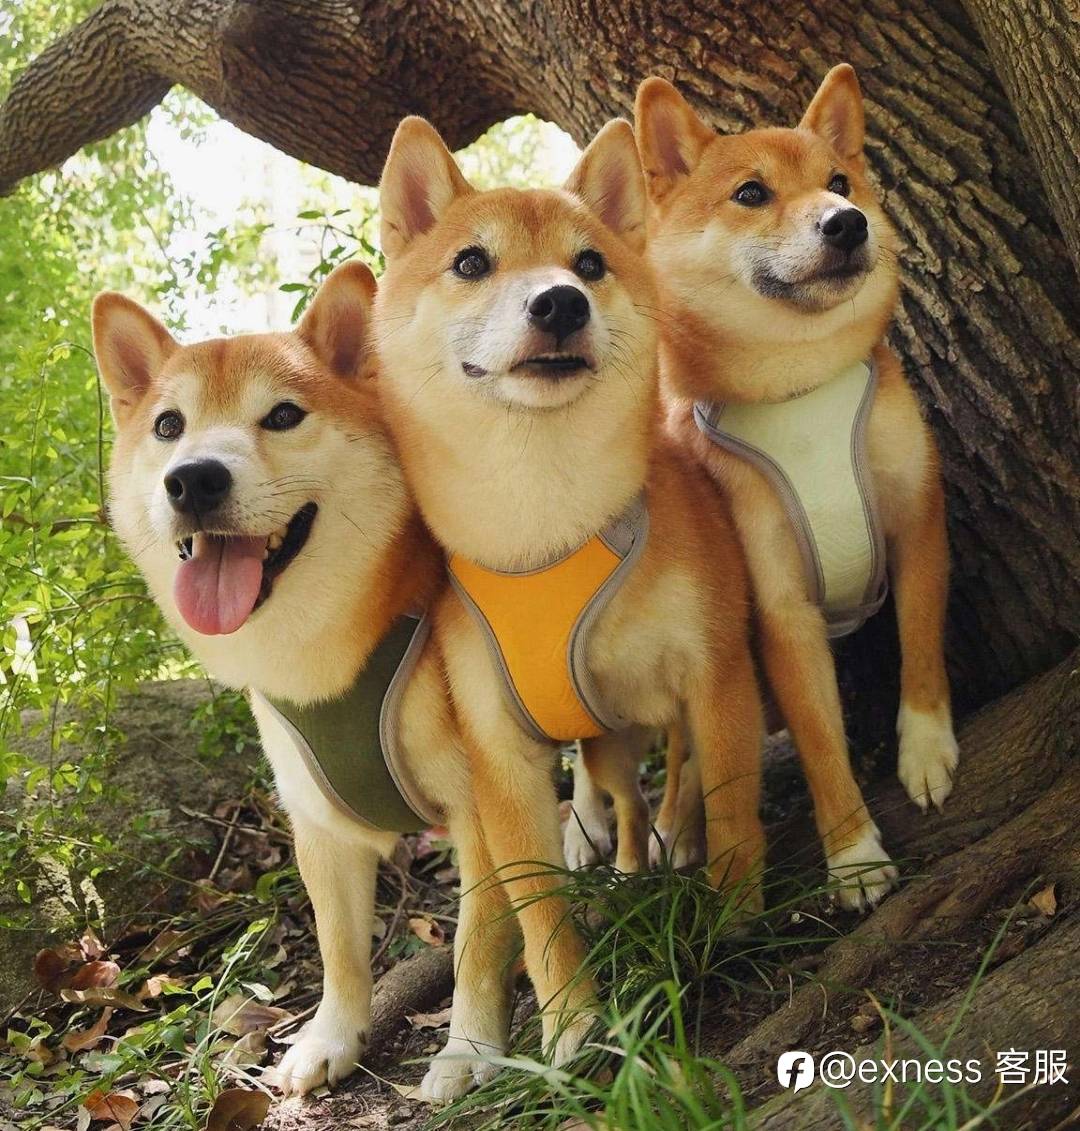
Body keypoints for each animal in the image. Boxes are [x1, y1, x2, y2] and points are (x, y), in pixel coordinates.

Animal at [93, 261, 596, 1103]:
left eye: (283, 415)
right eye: (168, 426)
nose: (193, 479)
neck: (332, 659)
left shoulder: (477, 810)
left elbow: (476, 944)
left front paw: (468, 1047)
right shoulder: (316, 820)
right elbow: (338, 947)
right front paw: (332, 1037)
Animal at [373, 114, 767, 1094]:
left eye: (589, 264)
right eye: (471, 262)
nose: (558, 303)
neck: (544, 530)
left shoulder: (715, 673)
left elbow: (735, 803)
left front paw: (741, 914)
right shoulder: (498, 754)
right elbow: (537, 907)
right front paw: (575, 1025)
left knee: (680, 777)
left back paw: (678, 841)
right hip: (604, 736)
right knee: (618, 797)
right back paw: (625, 864)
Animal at [622, 64, 959, 907]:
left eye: (839, 182)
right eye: (751, 193)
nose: (848, 223)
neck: (800, 389)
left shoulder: (918, 523)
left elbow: (921, 646)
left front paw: (924, 746)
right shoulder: (779, 608)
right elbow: (816, 738)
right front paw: (855, 853)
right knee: (685, 751)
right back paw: (679, 825)